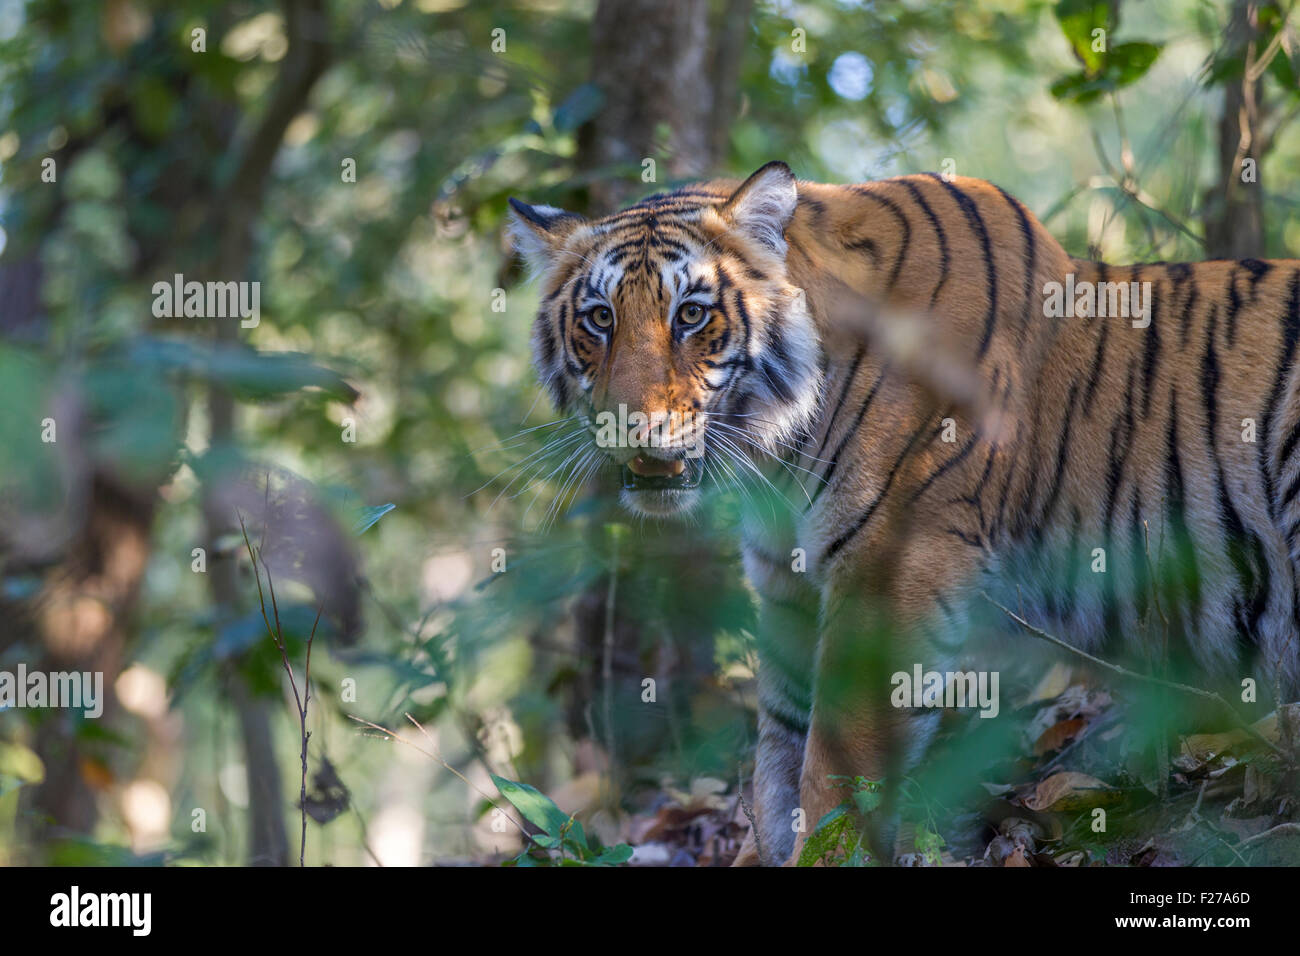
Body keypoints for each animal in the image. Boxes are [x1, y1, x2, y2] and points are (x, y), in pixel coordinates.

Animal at [504, 162, 1300, 868]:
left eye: (691, 314)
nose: (627, 429)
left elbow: (834, 763)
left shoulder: (889, 561)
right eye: (599, 319)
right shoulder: (789, 588)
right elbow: (777, 757)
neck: (776, 454)